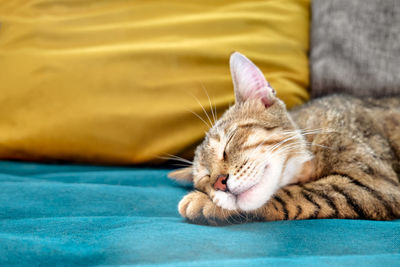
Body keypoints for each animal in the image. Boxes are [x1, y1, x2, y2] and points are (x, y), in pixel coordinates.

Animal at [168, 52, 400, 226]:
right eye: (205, 178)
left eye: (228, 142)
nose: (219, 183)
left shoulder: (374, 185)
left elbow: (295, 192)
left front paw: (204, 203)